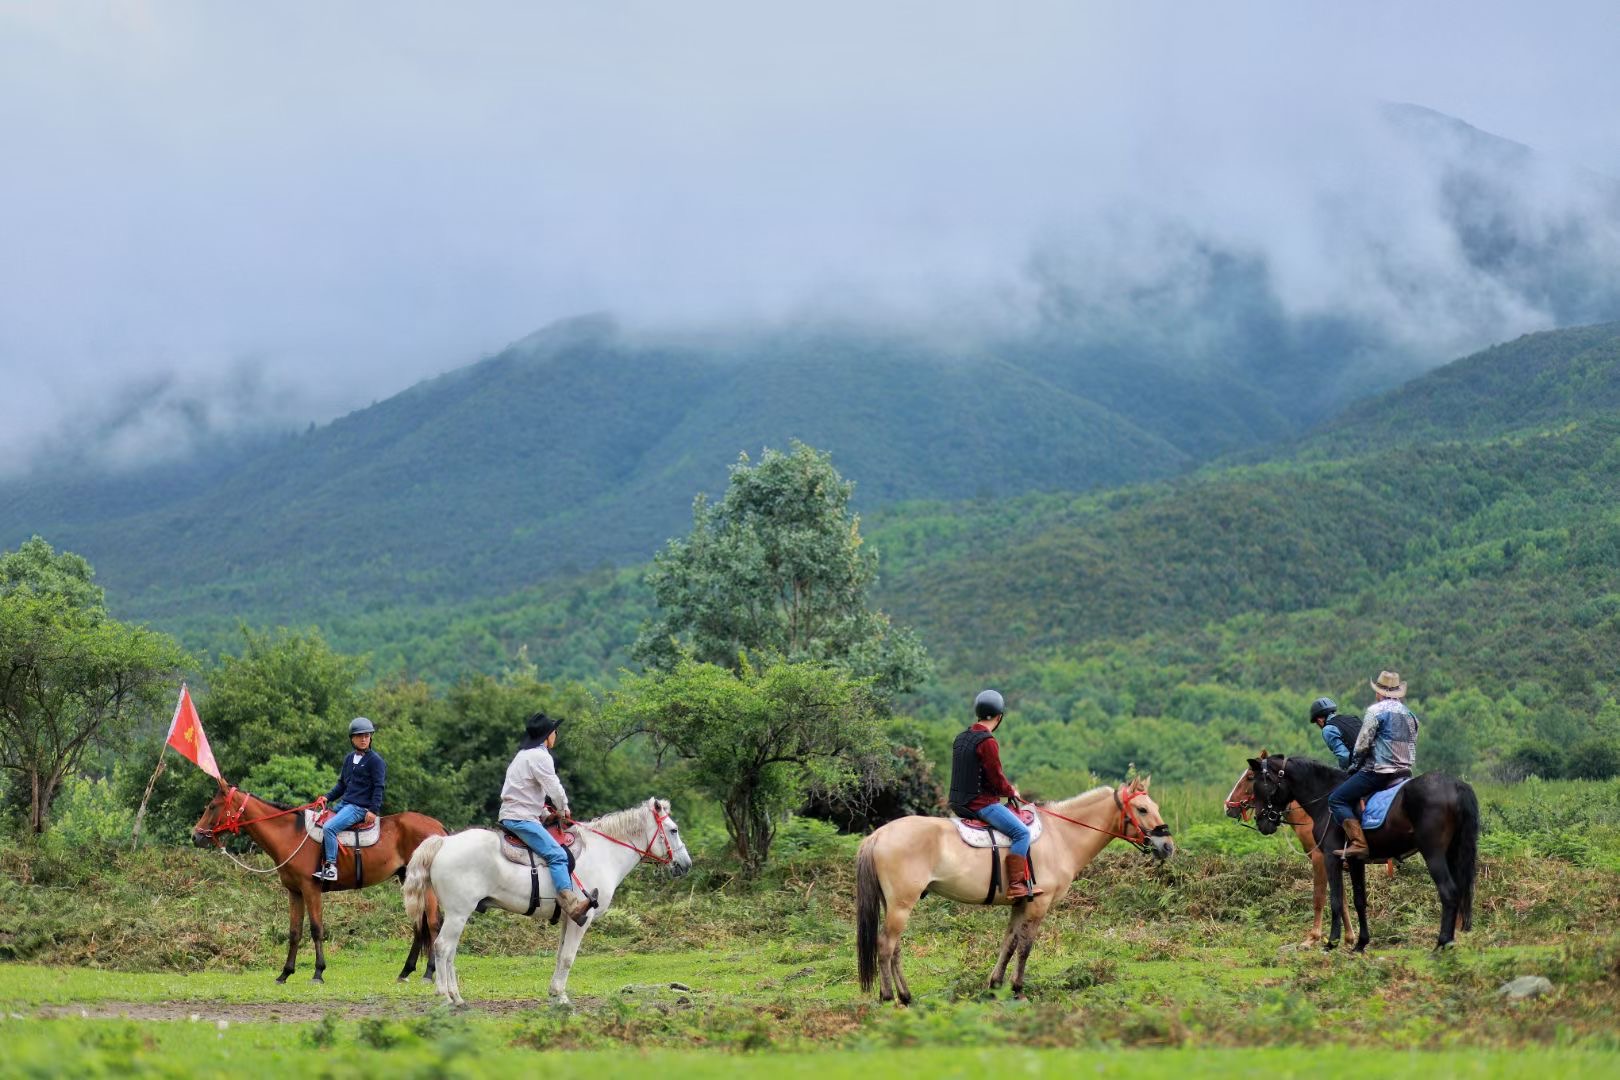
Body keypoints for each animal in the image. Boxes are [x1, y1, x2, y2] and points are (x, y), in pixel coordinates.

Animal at [191, 780, 447, 984]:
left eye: (212, 806)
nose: (195, 836)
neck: (291, 836)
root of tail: (437, 827)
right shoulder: (294, 892)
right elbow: (294, 931)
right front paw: (285, 973)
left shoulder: (310, 889)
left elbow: (316, 929)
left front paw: (318, 972)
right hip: (409, 880)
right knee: (419, 925)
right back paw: (406, 971)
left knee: (433, 923)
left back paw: (429, 973)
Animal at [403, 799, 690, 1010]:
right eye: (673, 830)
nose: (686, 864)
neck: (604, 852)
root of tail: (444, 842)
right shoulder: (582, 919)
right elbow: (568, 958)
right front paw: (562, 997)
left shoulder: (568, 918)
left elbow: (560, 955)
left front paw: (555, 993)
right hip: (458, 913)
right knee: (442, 947)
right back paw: (445, 995)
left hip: (458, 914)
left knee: (450, 951)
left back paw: (457, 997)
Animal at [855, 777, 1172, 1003]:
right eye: (1142, 809)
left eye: (1156, 807)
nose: (1168, 846)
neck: (1061, 836)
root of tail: (878, 835)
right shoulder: (1038, 905)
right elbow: (1025, 947)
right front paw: (1018, 989)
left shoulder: (1021, 903)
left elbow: (1008, 944)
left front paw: (995, 987)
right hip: (901, 905)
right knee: (885, 946)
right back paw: (888, 998)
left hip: (894, 905)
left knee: (895, 948)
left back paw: (906, 996)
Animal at [1250, 757, 1483, 952]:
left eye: (1260, 784)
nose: (1261, 822)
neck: (1325, 799)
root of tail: (1456, 785)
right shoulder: (1355, 861)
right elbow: (1359, 900)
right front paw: (1360, 944)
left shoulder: (1330, 858)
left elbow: (1335, 899)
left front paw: (1331, 943)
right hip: (1453, 853)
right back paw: (1449, 943)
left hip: (1433, 854)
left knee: (1449, 892)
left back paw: (1441, 945)